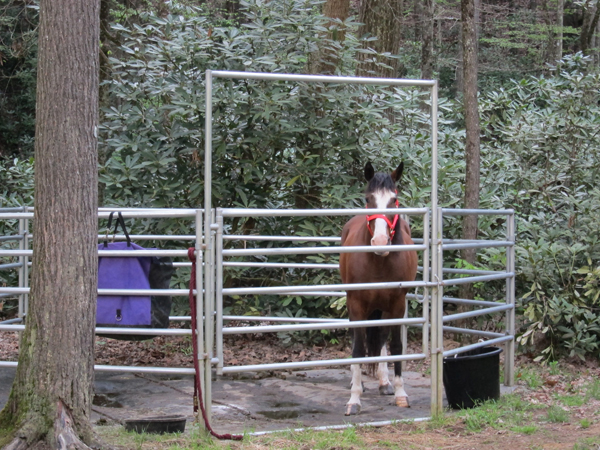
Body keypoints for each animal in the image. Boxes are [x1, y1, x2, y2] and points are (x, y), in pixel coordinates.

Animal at [340, 161, 420, 414]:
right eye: (369, 198)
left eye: (394, 199)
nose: (381, 242)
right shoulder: (356, 304)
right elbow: (358, 349)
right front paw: (354, 399)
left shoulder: (397, 304)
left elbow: (395, 345)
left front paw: (401, 394)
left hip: (383, 308)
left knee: (382, 337)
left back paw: (385, 382)